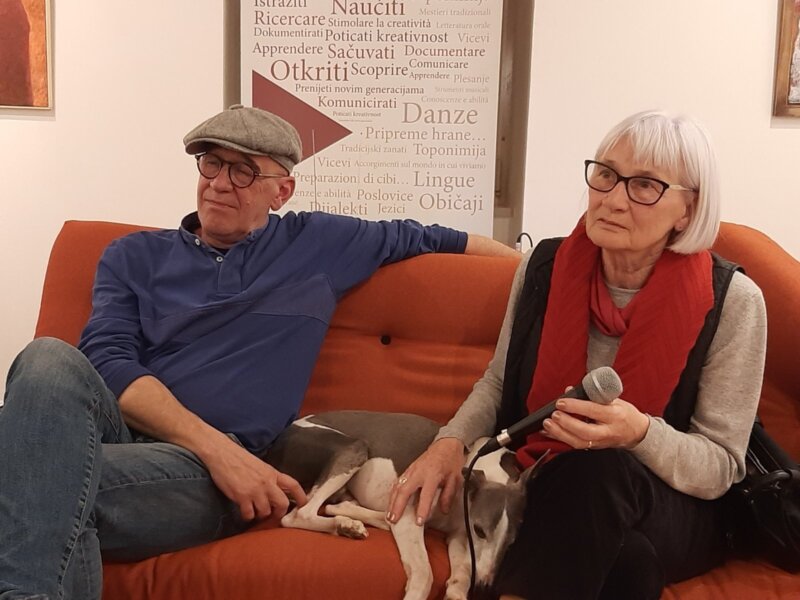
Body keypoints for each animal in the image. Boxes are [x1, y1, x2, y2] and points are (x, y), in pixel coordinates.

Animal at [261, 410, 541, 600]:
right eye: (481, 531)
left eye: (512, 542)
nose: (484, 588)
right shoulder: (411, 515)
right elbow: (425, 573)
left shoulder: (460, 534)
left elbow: (462, 570)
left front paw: (457, 590)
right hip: (353, 448)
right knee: (299, 515)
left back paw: (349, 524)